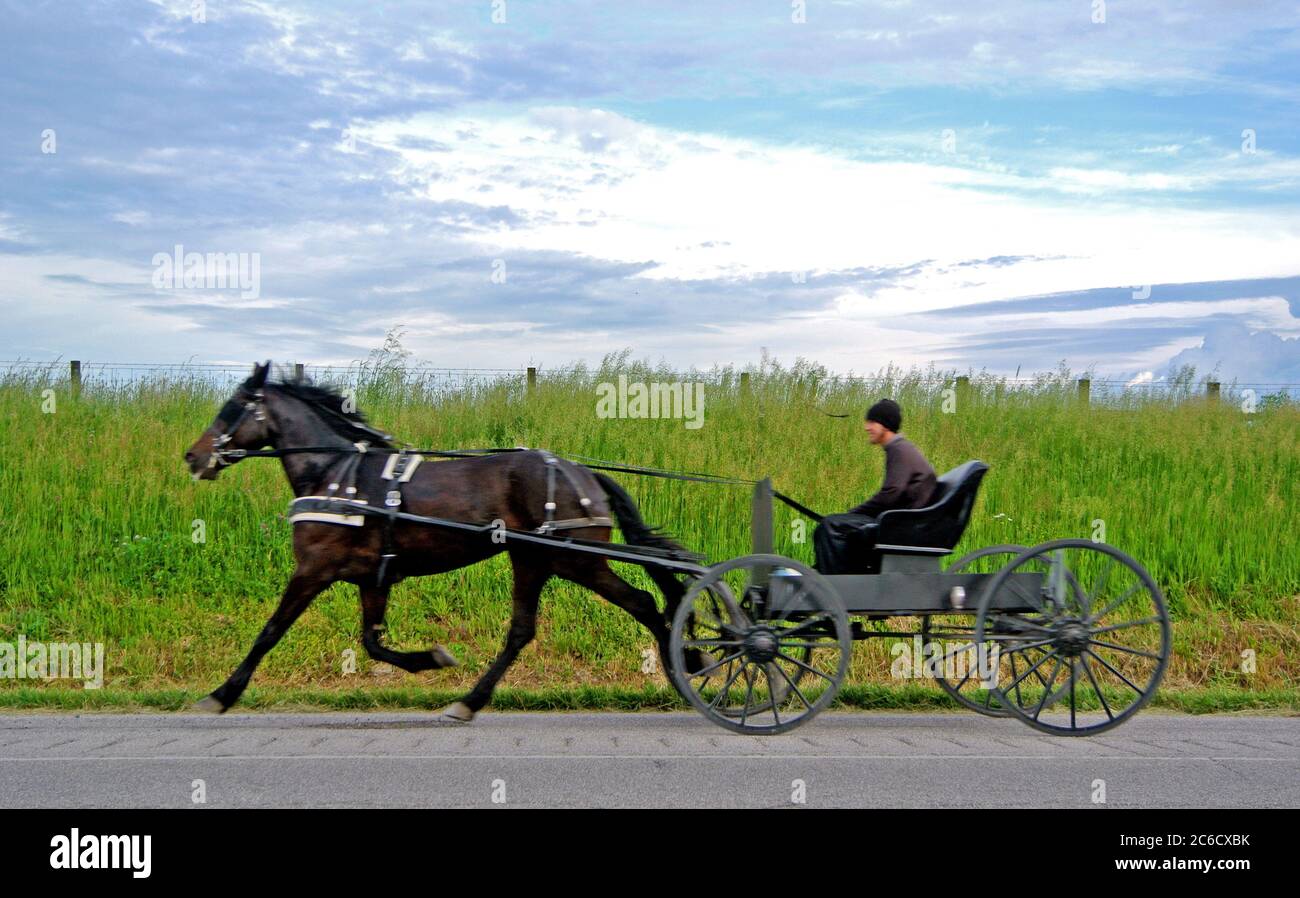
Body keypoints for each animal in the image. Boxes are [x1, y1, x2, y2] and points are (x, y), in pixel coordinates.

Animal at [183, 361, 707, 722]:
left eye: (232, 407)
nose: (193, 456)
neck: (337, 478)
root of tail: (581, 473)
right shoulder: (372, 579)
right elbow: (372, 643)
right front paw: (431, 659)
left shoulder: (313, 570)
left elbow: (270, 631)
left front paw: (221, 695)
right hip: (534, 559)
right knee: (523, 630)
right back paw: (470, 700)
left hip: (575, 560)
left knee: (644, 603)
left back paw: (687, 663)